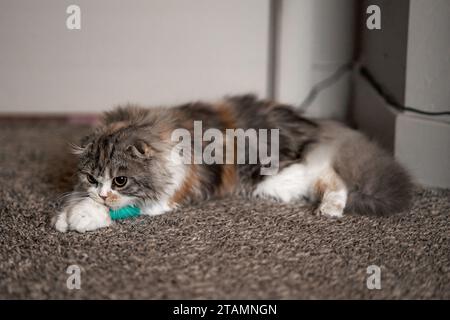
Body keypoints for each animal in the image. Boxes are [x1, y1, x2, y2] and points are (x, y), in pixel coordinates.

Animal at [51, 94, 412, 232]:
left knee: (333, 178)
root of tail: (315, 125)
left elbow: (118, 207)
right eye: (93, 179)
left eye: (120, 180)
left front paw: (83, 217)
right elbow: (76, 198)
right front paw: (65, 216)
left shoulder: (167, 195)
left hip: (278, 178)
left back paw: (330, 209)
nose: (102, 192)